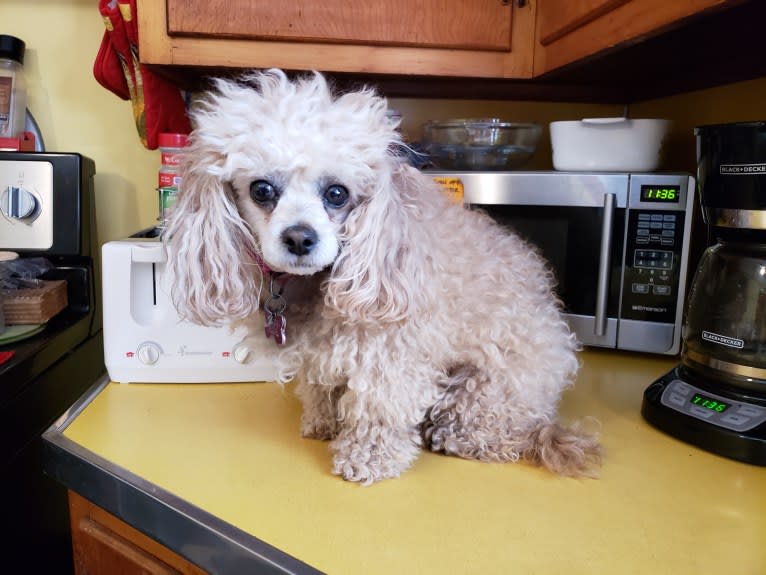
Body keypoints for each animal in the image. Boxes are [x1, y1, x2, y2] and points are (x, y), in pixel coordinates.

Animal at [165, 68, 604, 486]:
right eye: (261, 190)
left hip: (487, 390)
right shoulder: (319, 355)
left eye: (337, 194)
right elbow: (321, 386)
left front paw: (367, 458)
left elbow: (377, 408)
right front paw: (323, 424)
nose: (300, 238)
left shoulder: (392, 353)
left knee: (496, 434)